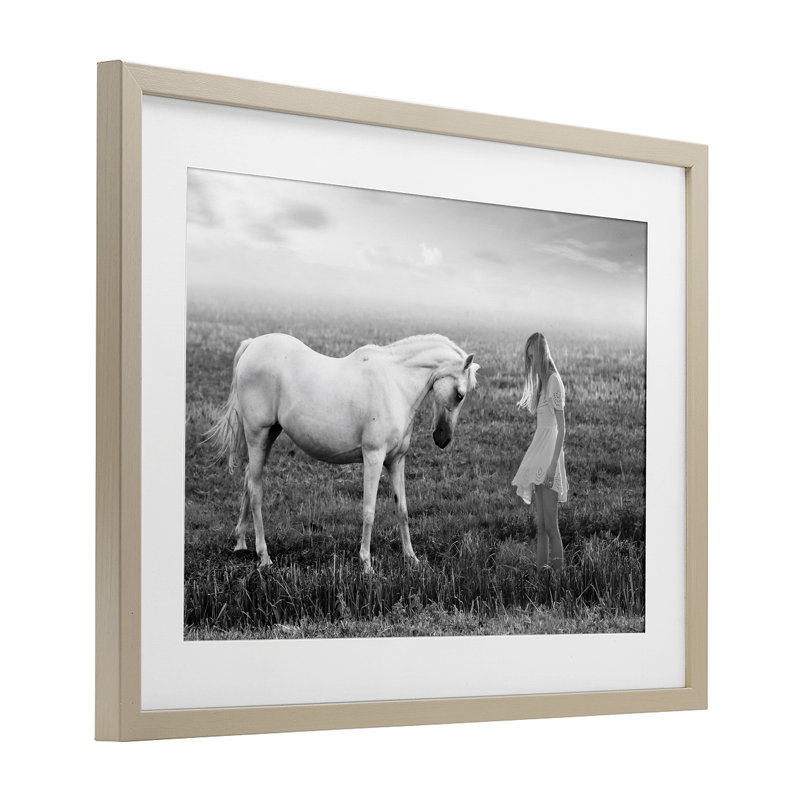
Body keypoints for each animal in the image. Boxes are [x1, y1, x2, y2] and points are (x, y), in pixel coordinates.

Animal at [205, 333, 479, 570]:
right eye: (459, 394)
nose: (443, 438)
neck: (395, 383)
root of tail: (252, 345)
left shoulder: (396, 461)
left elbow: (402, 509)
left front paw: (411, 558)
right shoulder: (373, 457)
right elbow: (369, 511)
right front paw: (366, 564)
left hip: (269, 434)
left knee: (247, 482)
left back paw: (241, 542)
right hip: (258, 435)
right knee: (256, 491)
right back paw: (264, 556)